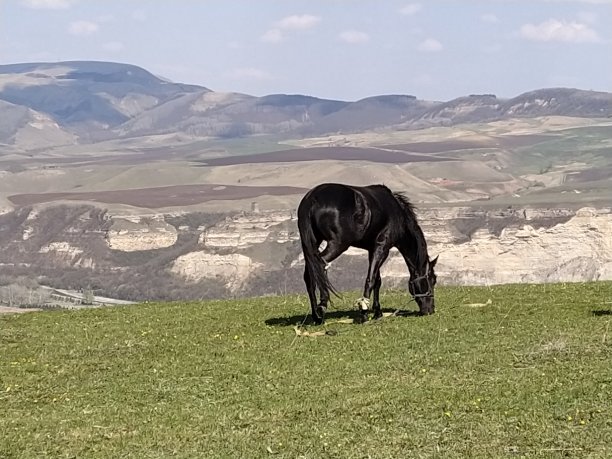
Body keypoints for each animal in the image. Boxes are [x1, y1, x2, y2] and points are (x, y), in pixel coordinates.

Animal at [298, 181, 438, 326]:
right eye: (433, 280)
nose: (430, 309)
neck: (398, 214)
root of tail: (312, 199)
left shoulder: (373, 249)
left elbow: (377, 280)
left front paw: (378, 312)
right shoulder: (382, 247)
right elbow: (371, 280)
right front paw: (364, 312)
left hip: (313, 244)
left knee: (310, 273)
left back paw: (316, 315)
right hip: (337, 245)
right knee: (319, 267)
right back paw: (322, 306)